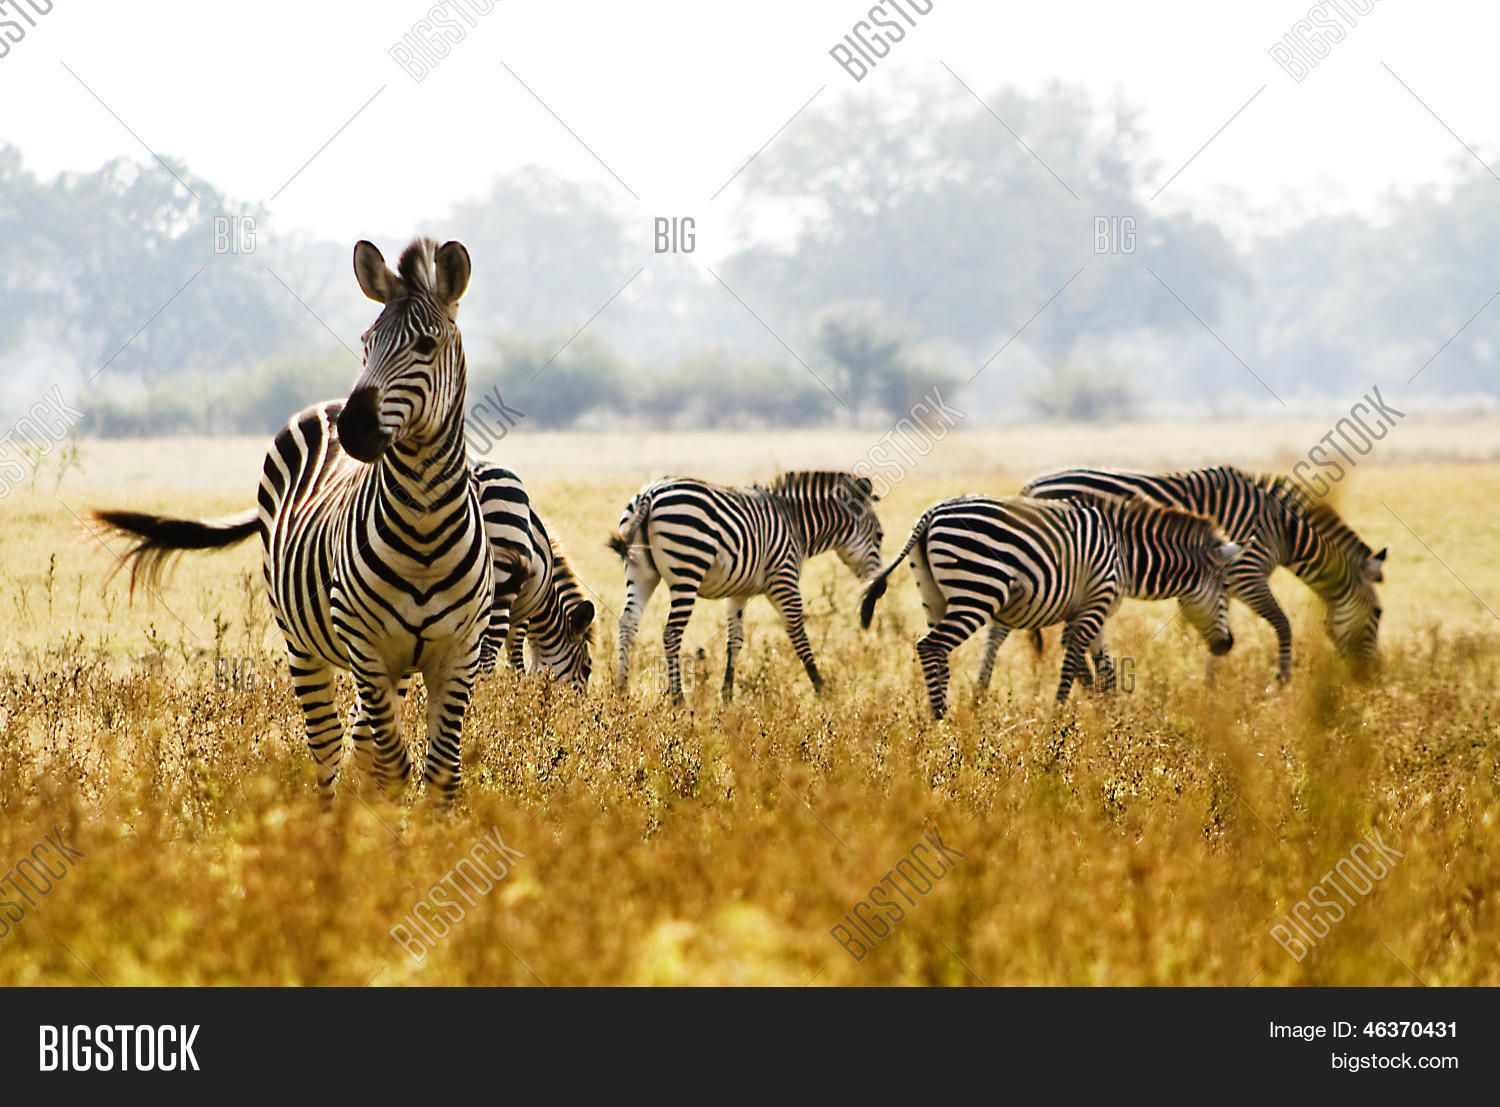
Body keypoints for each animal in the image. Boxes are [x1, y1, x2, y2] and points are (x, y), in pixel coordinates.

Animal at [87, 238, 494, 801]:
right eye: (366, 343)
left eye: (427, 346)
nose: (354, 428)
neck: (425, 534)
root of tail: (325, 405)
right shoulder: (367, 648)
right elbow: (393, 765)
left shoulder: (459, 655)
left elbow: (441, 774)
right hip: (305, 644)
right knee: (327, 748)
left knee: (360, 742)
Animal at [472, 461, 595, 691]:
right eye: (587, 668)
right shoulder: (523, 615)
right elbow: (516, 660)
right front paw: (517, 691)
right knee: (487, 653)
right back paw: (483, 697)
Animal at [609, 471, 884, 703]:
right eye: (880, 536)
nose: (880, 589)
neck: (796, 522)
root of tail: (650, 493)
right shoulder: (784, 579)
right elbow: (798, 634)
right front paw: (822, 689)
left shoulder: (738, 593)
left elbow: (735, 641)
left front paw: (727, 697)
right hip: (687, 570)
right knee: (671, 633)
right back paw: (678, 700)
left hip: (640, 572)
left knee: (627, 623)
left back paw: (622, 690)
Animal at [859, 494, 1240, 717]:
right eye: (1225, 588)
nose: (1227, 645)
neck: (1125, 553)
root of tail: (931, 512)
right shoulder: (1093, 606)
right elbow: (1073, 663)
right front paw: (1059, 721)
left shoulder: (1093, 608)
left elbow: (1107, 673)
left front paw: (1111, 723)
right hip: (979, 590)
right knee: (930, 646)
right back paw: (942, 720)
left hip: (934, 597)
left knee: (938, 654)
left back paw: (938, 723)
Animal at [1018, 465, 1386, 681]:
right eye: (1379, 614)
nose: (1371, 678)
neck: (1283, 533)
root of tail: (1029, 487)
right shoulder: (1247, 575)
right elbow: (1283, 624)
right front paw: (1282, 682)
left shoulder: (1224, 582)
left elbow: (1218, 629)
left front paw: (1210, 687)